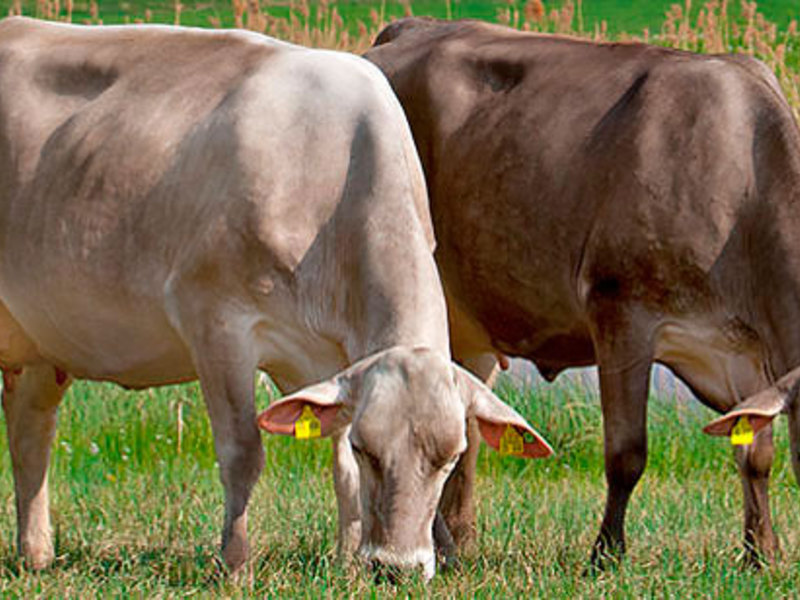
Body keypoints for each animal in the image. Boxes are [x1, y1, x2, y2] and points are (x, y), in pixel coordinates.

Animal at [0, 16, 553, 579]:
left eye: (451, 455)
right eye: (369, 447)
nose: (396, 567)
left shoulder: (327, 362)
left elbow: (340, 470)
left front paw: (346, 561)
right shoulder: (215, 320)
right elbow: (243, 453)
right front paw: (236, 564)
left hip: (41, 345)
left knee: (30, 433)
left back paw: (36, 554)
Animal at [365, 17, 800, 568]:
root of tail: (407, 28)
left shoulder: (745, 352)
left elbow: (756, 452)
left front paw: (761, 552)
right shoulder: (621, 309)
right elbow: (627, 453)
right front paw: (607, 554)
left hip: (467, 317)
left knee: (464, 420)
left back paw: (457, 540)